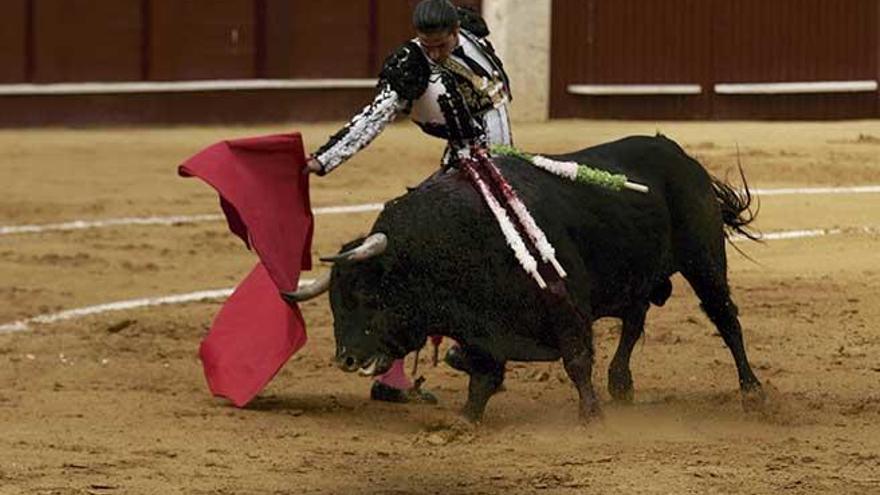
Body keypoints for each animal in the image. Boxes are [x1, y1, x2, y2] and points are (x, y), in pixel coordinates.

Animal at [294, 136, 764, 422]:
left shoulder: (565, 301)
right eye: (335, 302)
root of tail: (680, 155)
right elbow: (481, 374)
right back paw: (621, 384)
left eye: (368, 295)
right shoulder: (481, 327)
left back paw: (753, 393)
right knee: (634, 320)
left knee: (726, 319)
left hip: (704, 261)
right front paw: (465, 421)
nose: (345, 358)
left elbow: (576, 360)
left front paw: (591, 417)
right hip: (638, 276)